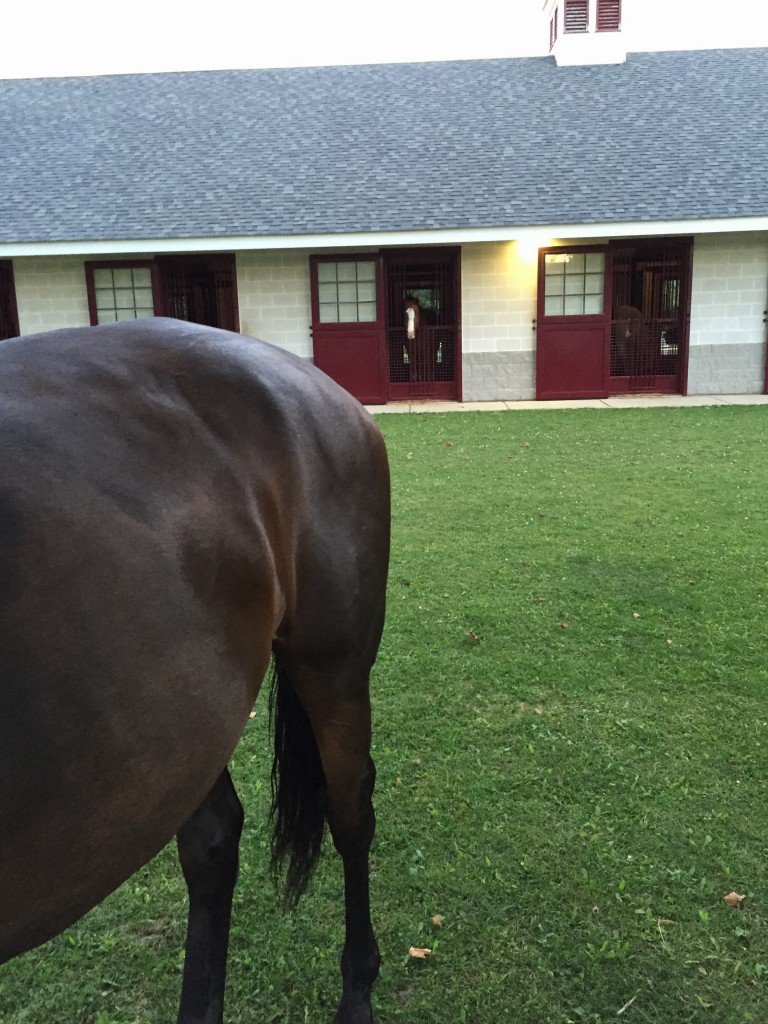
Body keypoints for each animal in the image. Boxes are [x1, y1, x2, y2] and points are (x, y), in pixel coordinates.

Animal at [0, 319, 391, 1024]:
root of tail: (321, 385)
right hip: (183, 726)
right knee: (213, 841)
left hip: (334, 669)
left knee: (350, 812)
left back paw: (357, 992)